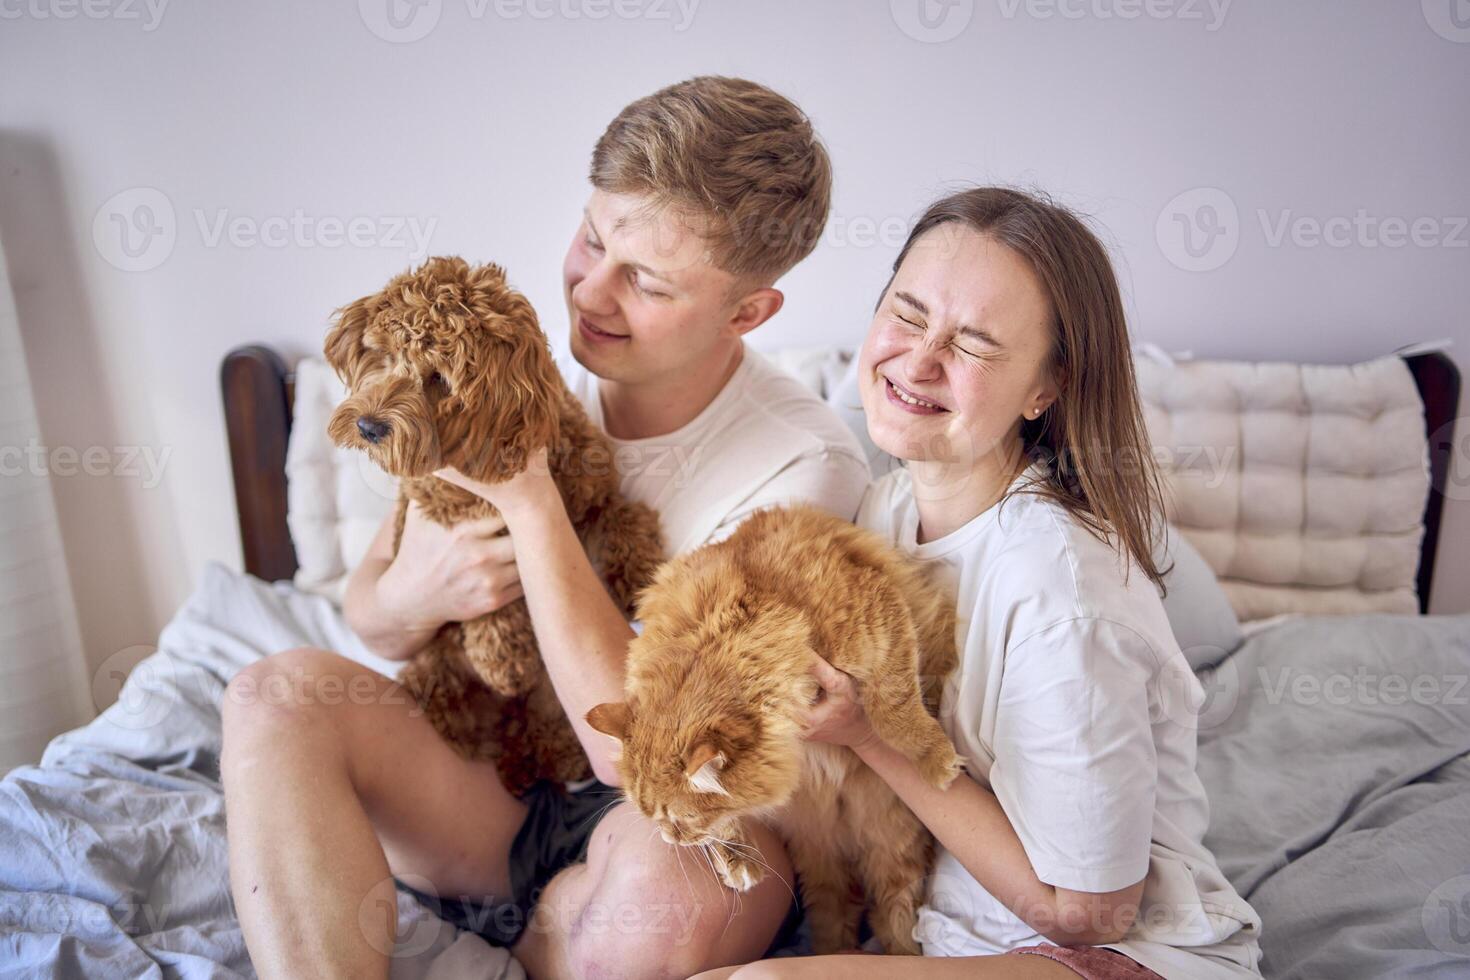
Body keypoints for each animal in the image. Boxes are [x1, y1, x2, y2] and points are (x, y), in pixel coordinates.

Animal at [327, 255, 667, 799]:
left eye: (439, 379)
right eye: (382, 356)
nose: (369, 427)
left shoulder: (593, 497)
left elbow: (625, 513)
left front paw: (640, 574)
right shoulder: (453, 519)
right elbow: (494, 602)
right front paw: (504, 659)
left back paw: (547, 756)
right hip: (436, 661)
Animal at [585, 505, 964, 957]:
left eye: (679, 819)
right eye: (653, 819)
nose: (669, 840)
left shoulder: (878, 614)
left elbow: (895, 707)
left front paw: (936, 759)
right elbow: (727, 823)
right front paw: (739, 864)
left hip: (893, 846)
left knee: (895, 918)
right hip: (820, 863)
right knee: (835, 918)